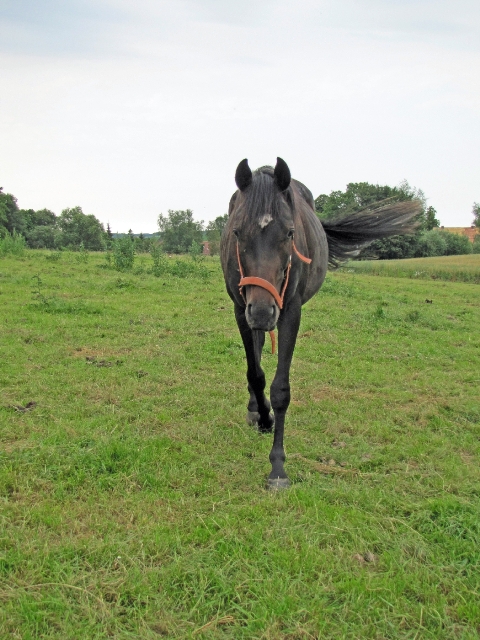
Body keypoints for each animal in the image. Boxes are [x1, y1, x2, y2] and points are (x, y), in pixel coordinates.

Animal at [220, 158, 420, 489]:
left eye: (290, 233)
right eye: (237, 231)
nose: (262, 312)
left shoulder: (290, 312)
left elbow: (280, 390)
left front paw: (278, 467)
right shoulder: (240, 309)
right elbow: (256, 374)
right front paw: (263, 417)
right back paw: (254, 410)